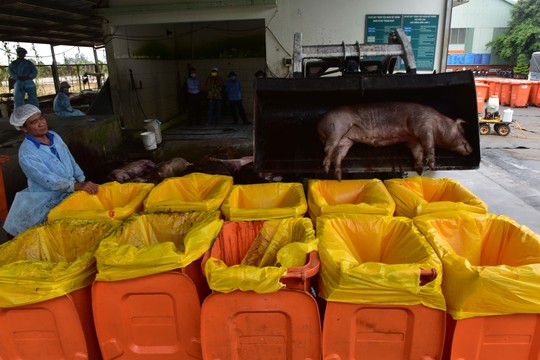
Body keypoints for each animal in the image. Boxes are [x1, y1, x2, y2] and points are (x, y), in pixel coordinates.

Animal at [316, 101, 472, 180]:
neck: (439, 122)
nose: (472, 149)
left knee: (337, 155)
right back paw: (325, 168)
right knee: (328, 149)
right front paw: (432, 165)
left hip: (345, 141)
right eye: (462, 130)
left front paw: (420, 170)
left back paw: (338, 176)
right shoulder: (423, 125)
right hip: (336, 128)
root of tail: (319, 124)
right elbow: (429, 143)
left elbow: (417, 151)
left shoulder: (412, 140)